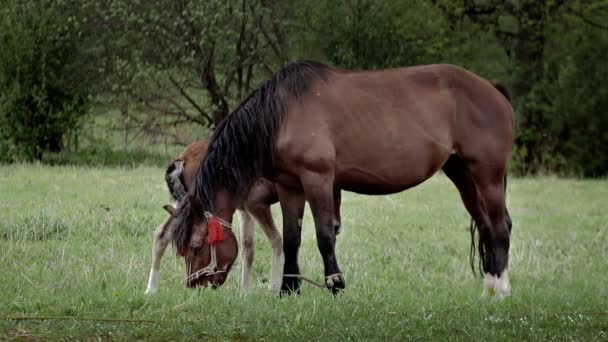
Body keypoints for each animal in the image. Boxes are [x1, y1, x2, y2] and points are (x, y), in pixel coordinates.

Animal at [173, 60, 516, 296]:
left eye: (196, 246)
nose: (194, 287)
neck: (281, 116)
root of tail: (491, 88)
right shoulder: (289, 187)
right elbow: (292, 237)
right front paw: (288, 289)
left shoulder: (319, 180)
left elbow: (325, 235)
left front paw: (335, 284)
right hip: (463, 175)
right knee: (486, 226)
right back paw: (488, 286)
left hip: (488, 175)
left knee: (499, 227)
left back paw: (500, 291)